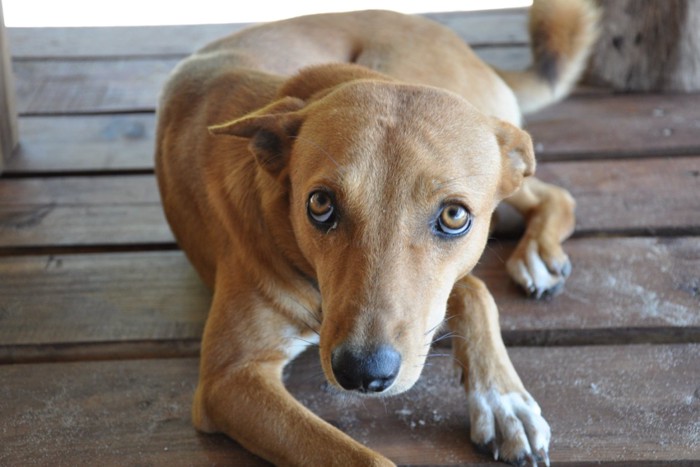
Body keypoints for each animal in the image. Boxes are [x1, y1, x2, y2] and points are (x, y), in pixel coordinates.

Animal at [156, 1, 600, 466]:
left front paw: (504, 399)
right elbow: (364, 456)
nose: (362, 374)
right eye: (320, 204)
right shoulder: (230, 377)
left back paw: (537, 254)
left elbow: (473, 290)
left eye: (454, 215)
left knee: (552, 195)